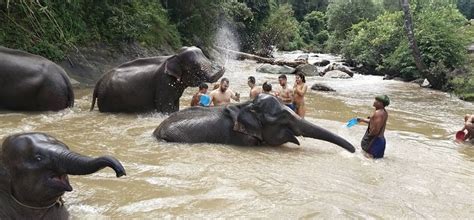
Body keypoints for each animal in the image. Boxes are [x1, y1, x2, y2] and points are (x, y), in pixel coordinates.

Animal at [92, 45, 226, 112]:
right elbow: (165, 106)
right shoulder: (164, 82)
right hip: (107, 98)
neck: (173, 56)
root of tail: (98, 82)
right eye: (195, 67)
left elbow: (175, 104)